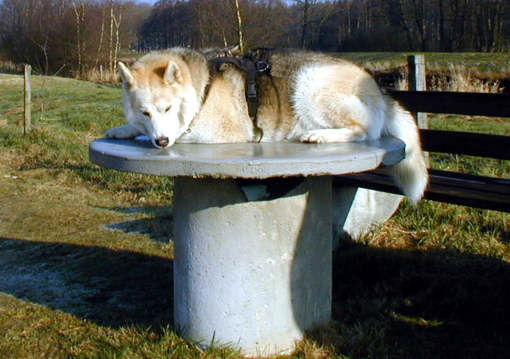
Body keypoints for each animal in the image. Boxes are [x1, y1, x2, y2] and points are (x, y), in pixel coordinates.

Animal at [105, 47, 428, 204]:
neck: (202, 87)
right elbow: (134, 127)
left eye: (168, 109)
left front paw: (142, 138)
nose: (160, 143)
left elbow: (183, 134)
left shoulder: (220, 132)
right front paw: (124, 130)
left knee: (364, 131)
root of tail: (377, 85)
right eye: (145, 113)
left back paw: (320, 135)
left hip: (310, 83)